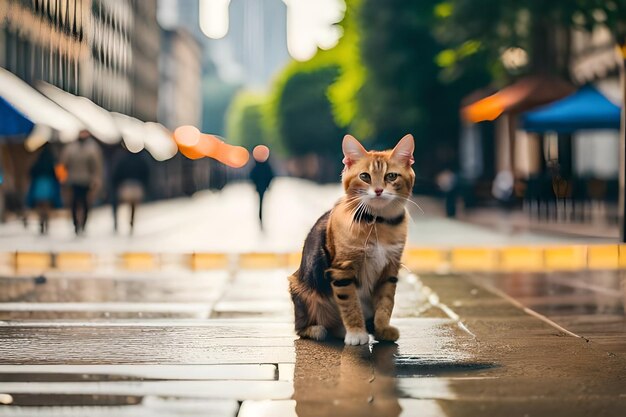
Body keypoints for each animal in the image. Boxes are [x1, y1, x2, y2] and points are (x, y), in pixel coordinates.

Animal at [288, 133, 414, 344]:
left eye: (391, 176)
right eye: (364, 176)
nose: (378, 190)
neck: (378, 222)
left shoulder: (390, 269)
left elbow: (386, 303)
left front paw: (381, 329)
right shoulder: (343, 270)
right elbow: (350, 304)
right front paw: (356, 332)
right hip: (301, 288)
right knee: (303, 326)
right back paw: (318, 329)